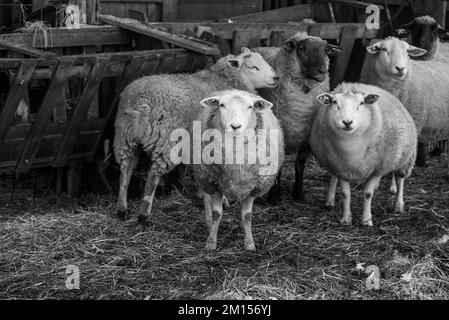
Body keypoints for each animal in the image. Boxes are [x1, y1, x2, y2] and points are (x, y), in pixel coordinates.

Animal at [114, 47, 278, 225]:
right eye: (254, 67)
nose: (276, 77)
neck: (223, 80)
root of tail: (142, 103)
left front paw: (203, 195)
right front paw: (223, 201)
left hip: (125, 138)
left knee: (125, 172)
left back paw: (122, 209)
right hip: (166, 144)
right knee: (152, 177)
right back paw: (144, 214)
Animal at [193, 89, 284, 251]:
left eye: (250, 107)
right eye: (221, 105)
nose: (235, 126)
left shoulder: (254, 187)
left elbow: (247, 215)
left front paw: (249, 243)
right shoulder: (214, 183)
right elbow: (217, 214)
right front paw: (211, 242)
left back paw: (241, 225)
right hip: (204, 177)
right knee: (206, 198)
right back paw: (209, 223)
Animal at [250, 31, 342, 202]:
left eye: (326, 50)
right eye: (302, 48)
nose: (322, 71)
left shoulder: (306, 138)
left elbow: (300, 165)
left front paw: (299, 193)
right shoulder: (280, 133)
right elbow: (279, 164)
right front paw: (274, 196)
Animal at [308, 83, 416, 228]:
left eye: (362, 103)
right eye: (335, 102)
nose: (347, 122)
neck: (351, 148)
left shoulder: (376, 169)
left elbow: (368, 194)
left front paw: (366, 220)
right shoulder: (341, 168)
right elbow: (345, 194)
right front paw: (346, 219)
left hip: (403, 157)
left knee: (400, 179)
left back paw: (398, 205)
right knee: (333, 177)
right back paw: (330, 200)